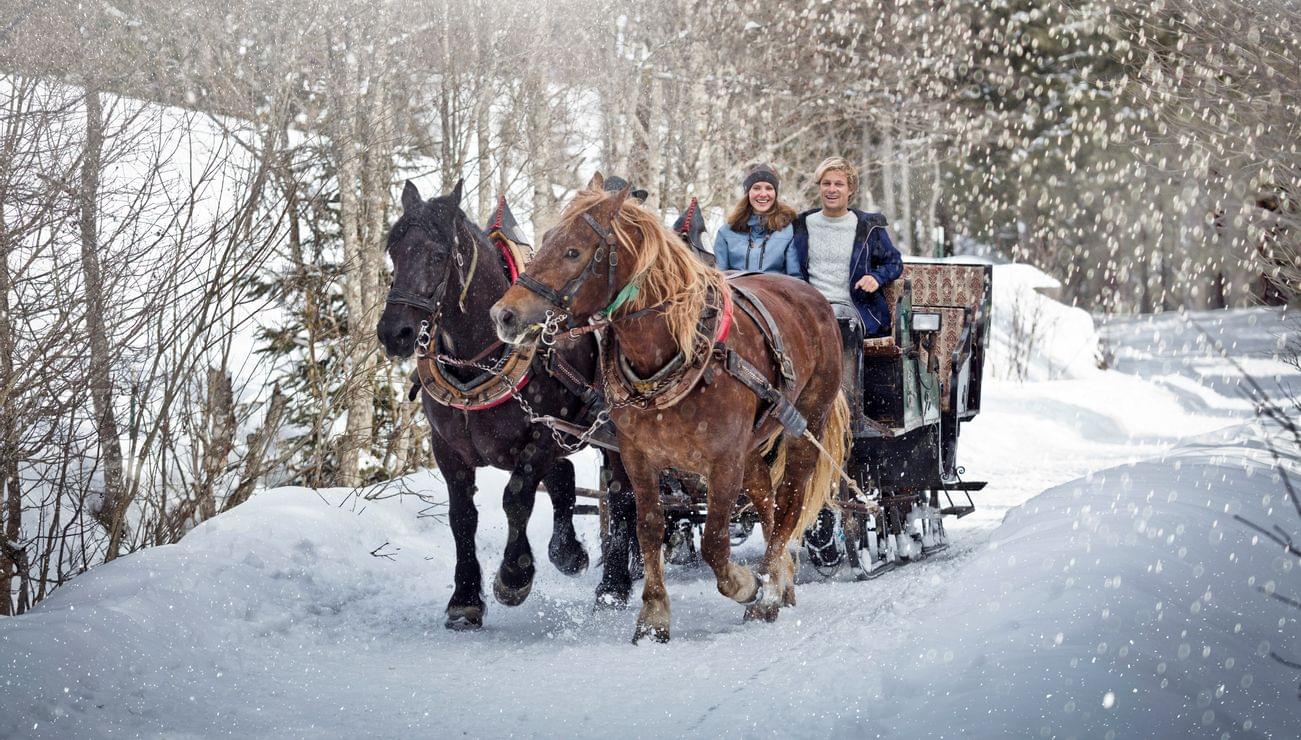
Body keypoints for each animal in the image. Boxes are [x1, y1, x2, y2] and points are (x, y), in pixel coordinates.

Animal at [377, 179, 640, 624]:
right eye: (393, 251)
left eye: (437, 255)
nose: (393, 332)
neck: (478, 360)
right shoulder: (447, 448)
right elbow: (462, 516)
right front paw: (465, 598)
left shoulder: (546, 433)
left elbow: (516, 498)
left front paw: (514, 576)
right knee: (566, 480)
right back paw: (570, 553)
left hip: (614, 435)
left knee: (621, 496)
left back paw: (614, 586)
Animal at [491, 174, 848, 639]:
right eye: (547, 239)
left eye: (573, 251)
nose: (504, 315)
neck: (678, 350)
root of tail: (813, 296)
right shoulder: (639, 456)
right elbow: (649, 527)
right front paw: (653, 615)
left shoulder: (722, 460)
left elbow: (715, 541)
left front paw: (746, 584)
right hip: (752, 448)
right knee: (767, 502)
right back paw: (783, 581)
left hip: (805, 426)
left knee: (789, 504)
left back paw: (769, 589)